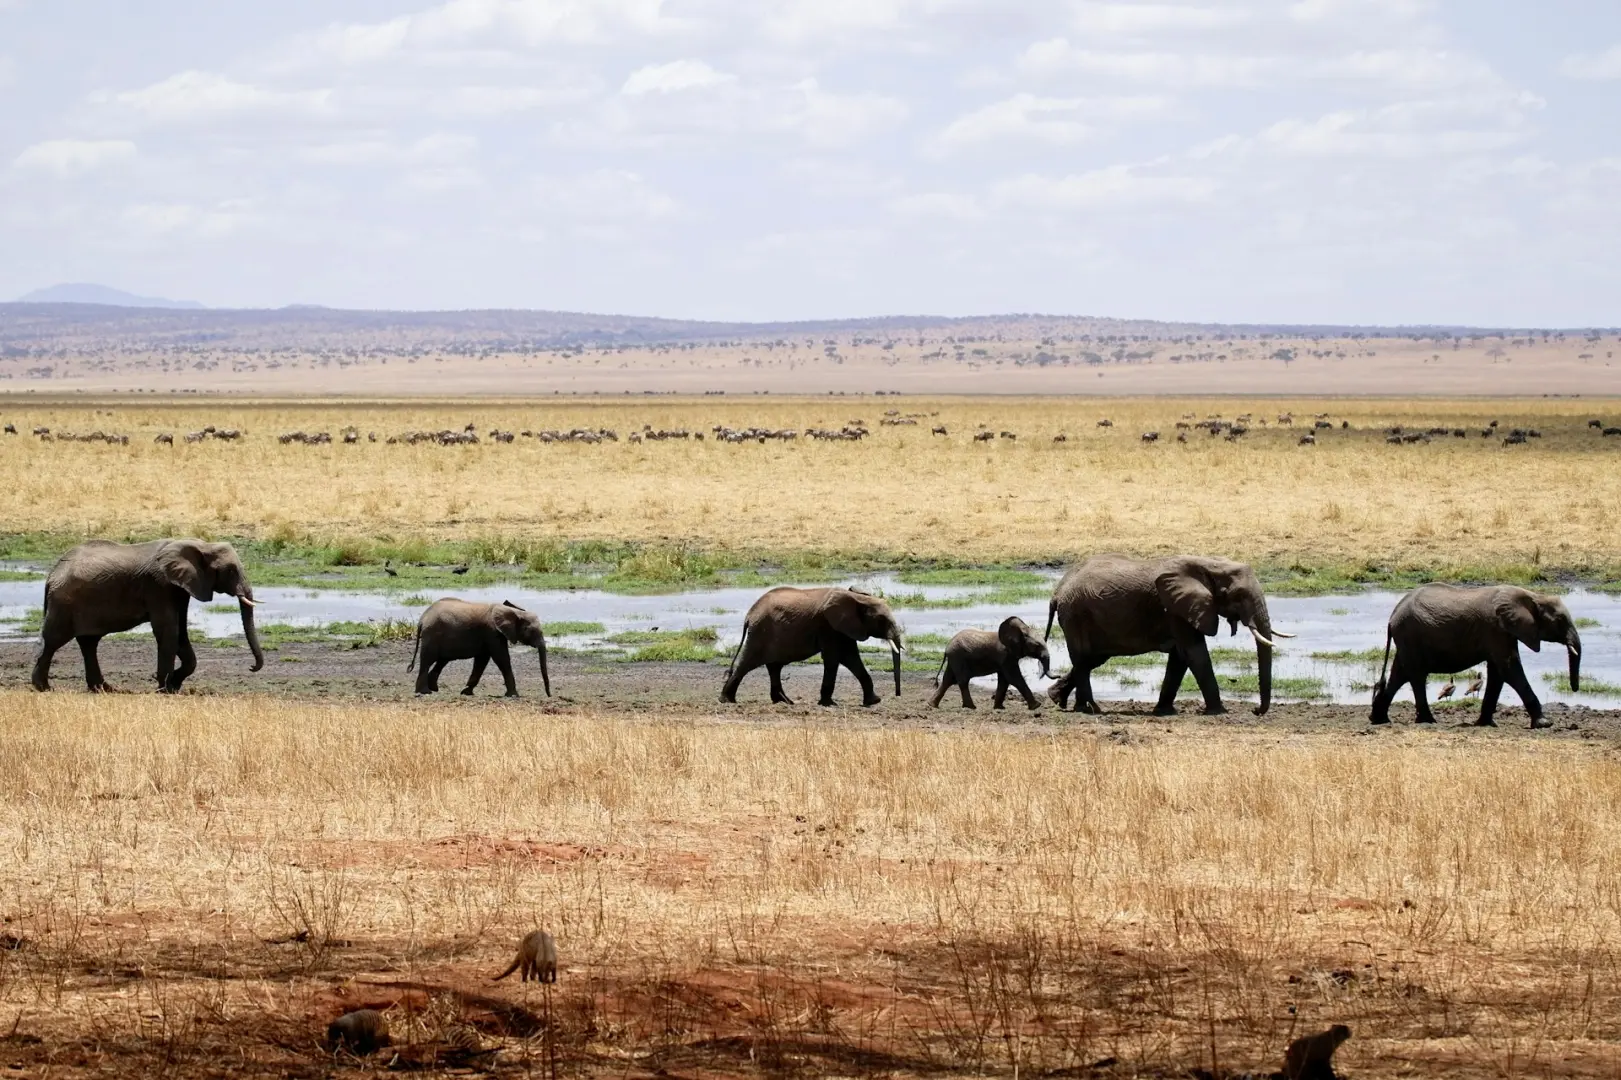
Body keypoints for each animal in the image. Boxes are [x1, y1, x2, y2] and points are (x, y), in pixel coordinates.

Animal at [32, 538, 264, 692]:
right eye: (231, 570)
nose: (251, 667)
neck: (201, 545)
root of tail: (51, 575)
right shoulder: (159, 585)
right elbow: (168, 630)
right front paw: (164, 689)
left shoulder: (180, 588)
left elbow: (181, 631)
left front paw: (174, 685)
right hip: (64, 603)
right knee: (53, 641)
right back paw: (43, 688)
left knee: (89, 643)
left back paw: (105, 689)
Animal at [408, 598, 551, 697]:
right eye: (530, 631)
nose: (549, 695)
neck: (513, 611)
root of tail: (422, 619)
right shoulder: (492, 632)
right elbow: (501, 658)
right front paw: (513, 695)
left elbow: (482, 661)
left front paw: (466, 692)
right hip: (432, 634)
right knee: (427, 660)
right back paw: (424, 692)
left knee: (442, 661)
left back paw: (433, 689)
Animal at [720, 587, 905, 706]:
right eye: (881, 620)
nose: (897, 695)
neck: (858, 598)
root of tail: (749, 614)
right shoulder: (828, 626)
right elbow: (834, 658)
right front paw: (828, 704)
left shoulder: (843, 628)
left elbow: (851, 658)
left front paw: (874, 701)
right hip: (760, 632)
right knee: (747, 664)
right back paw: (727, 700)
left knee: (774, 667)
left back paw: (785, 702)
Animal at [1044, 554, 1290, 716]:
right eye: (1238, 595)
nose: (1256, 711)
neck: (1208, 564)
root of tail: (1057, 592)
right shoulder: (1176, 609)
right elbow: (1195, 652)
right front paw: (1219, 711)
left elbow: (1180, 657)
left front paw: (1164, 710)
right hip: (1076, 615)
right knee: (1084, 659)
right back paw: (1090, 709)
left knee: (1091, 659)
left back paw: (1061, 701)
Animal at [1369, 583, 1580, 728]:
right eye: (1560, 620)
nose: (1574, 689)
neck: (1532, 595)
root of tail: (1392, 617)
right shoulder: (1495, 629)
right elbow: (1510, 668)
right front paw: (1545, 724)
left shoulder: (1504, 632)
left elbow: (1498, 673)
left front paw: (1485, 723)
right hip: (1410, 636)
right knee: (1416, 676)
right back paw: (1428, 721)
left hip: (1406, 640)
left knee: (1400, 674)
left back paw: (1379, 719)